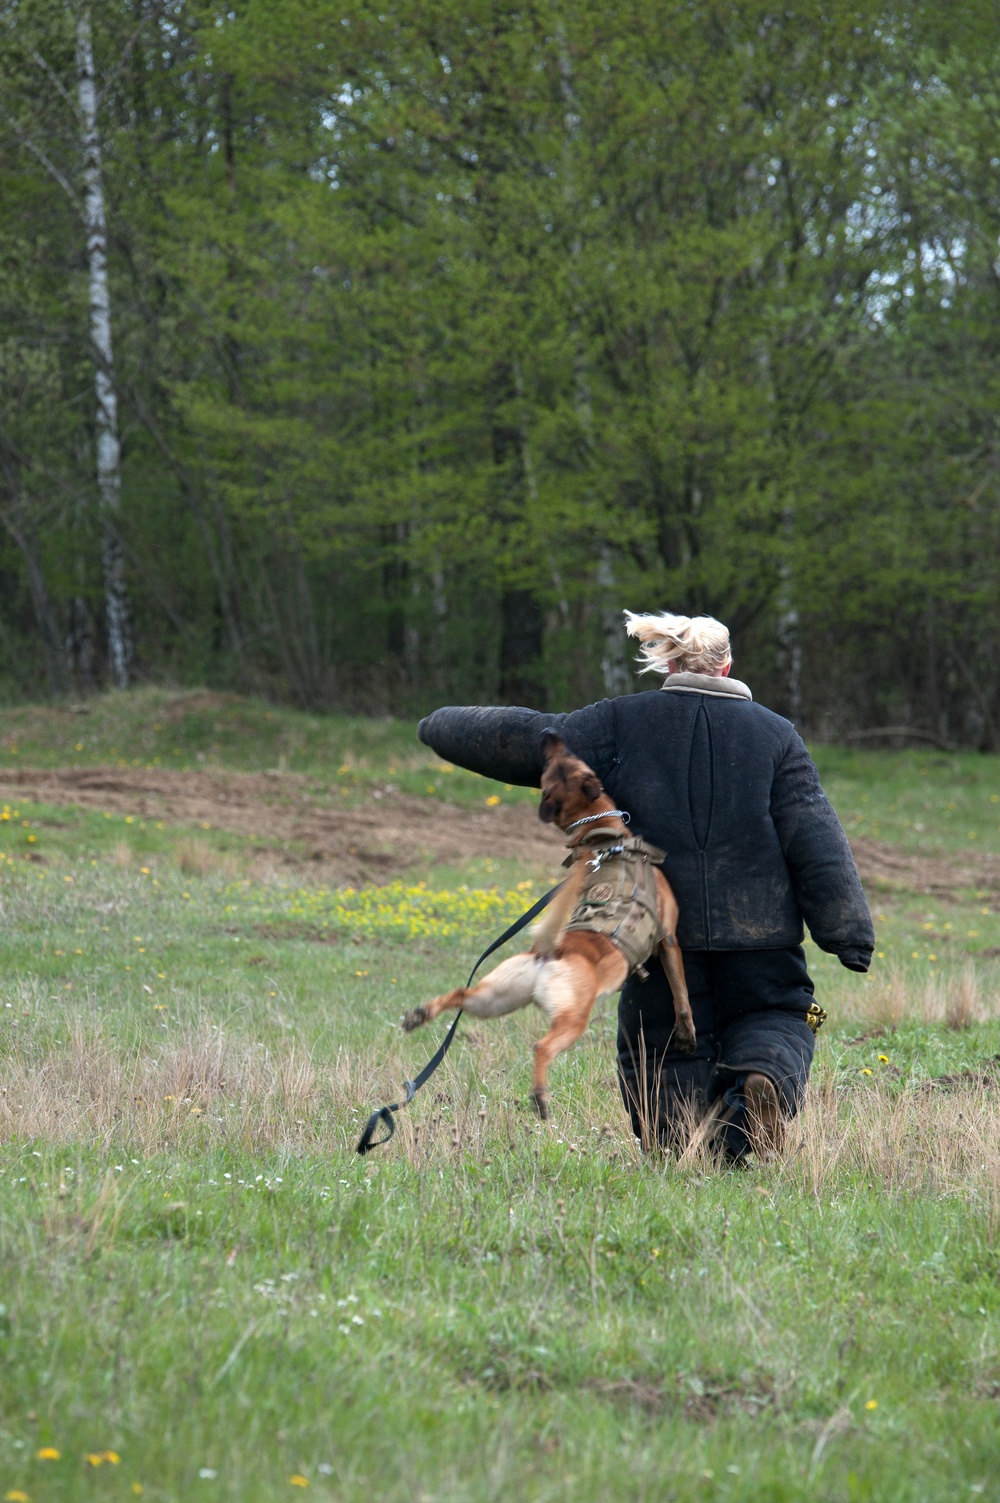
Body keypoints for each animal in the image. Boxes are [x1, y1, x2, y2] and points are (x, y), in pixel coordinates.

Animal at [400, 730, 694, 1118]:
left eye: (561, 763)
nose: (549, 733)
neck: (603, 839)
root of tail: (548, 953)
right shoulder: (669, 938)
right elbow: (681, 992)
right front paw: (687, 1032)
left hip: (495, 1000)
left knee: (461, 994)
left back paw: (420, 1015)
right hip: (572, 1020)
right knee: (541, 1046)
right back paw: (540, 1096)